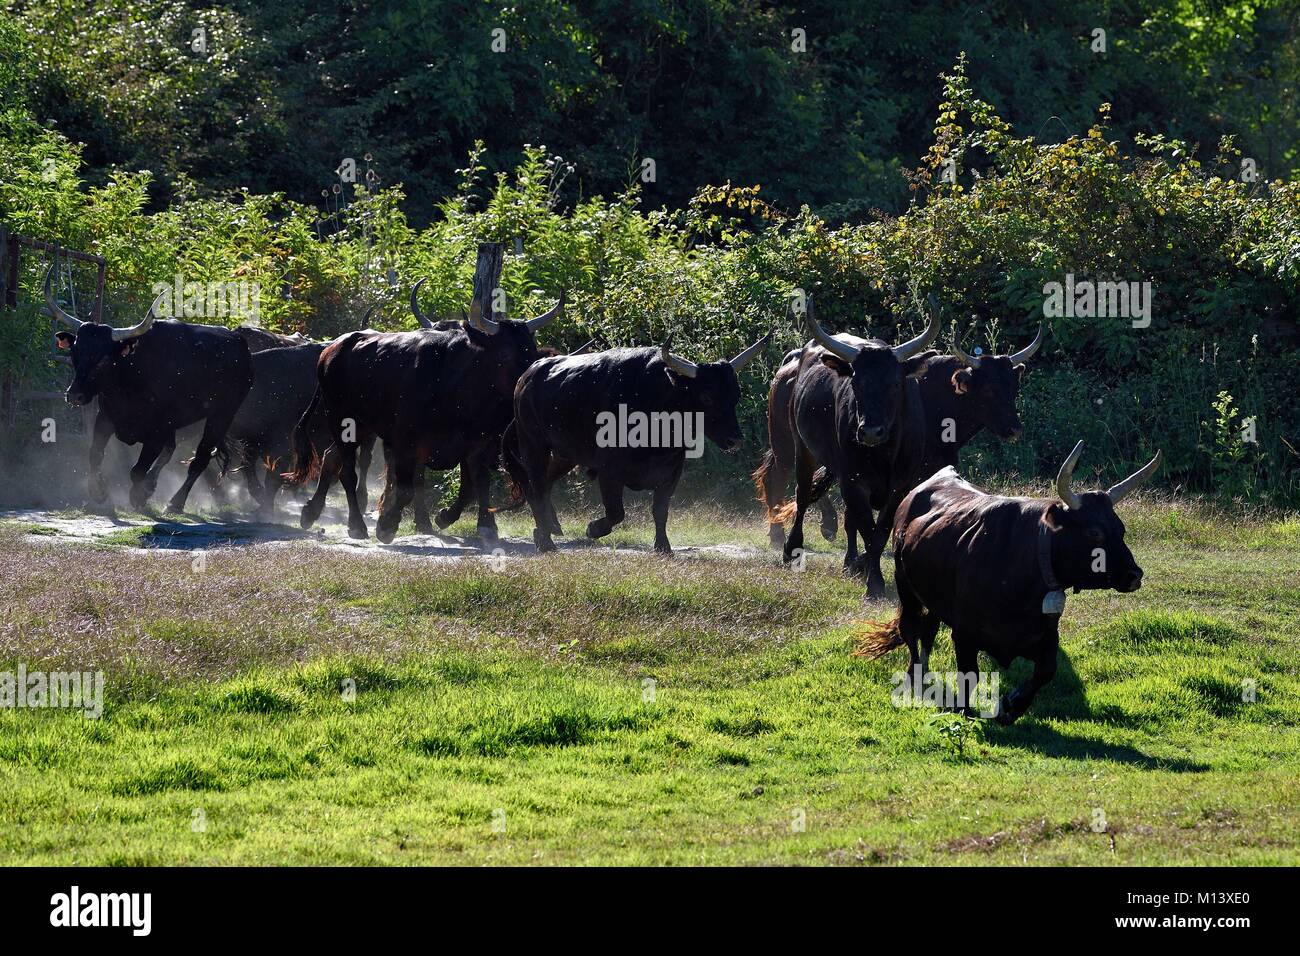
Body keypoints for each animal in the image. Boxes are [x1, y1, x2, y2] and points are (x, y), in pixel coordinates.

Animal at [857, 444, 1164, 728]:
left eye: (1121, 529)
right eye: (1095, 532)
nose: (1134, 574)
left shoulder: (1044, 635)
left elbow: (1047, 670)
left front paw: (1012, 706)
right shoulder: (964, 635)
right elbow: (969, 676)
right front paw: (965, 712)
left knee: (928, 630)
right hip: (905, 587)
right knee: (910, 629)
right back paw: (915, 676)